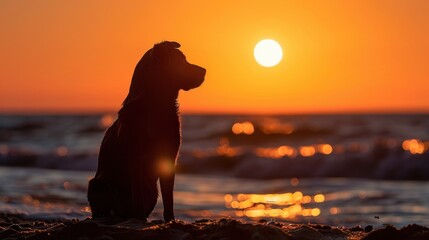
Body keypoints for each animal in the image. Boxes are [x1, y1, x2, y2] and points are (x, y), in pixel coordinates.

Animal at [87, 40, 206, 221]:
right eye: (181, 61)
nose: (204, 71)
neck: (157, 104)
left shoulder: (169, 157)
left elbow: (169, 197)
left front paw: (170, 220)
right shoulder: (135, 157)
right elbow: (138, 194)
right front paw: (140, 218)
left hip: (152, 190)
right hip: (96, 185)